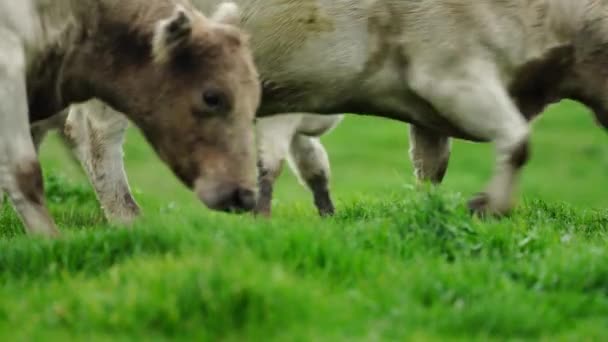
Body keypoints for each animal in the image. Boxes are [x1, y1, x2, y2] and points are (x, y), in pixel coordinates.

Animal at [34, 0, 608, 219]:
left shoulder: (427, 107)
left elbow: (431, 166)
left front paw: (432, 212)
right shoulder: (454, 74)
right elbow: (518, 142)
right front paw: (490, 206)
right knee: (95, 135)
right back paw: (126, 216)